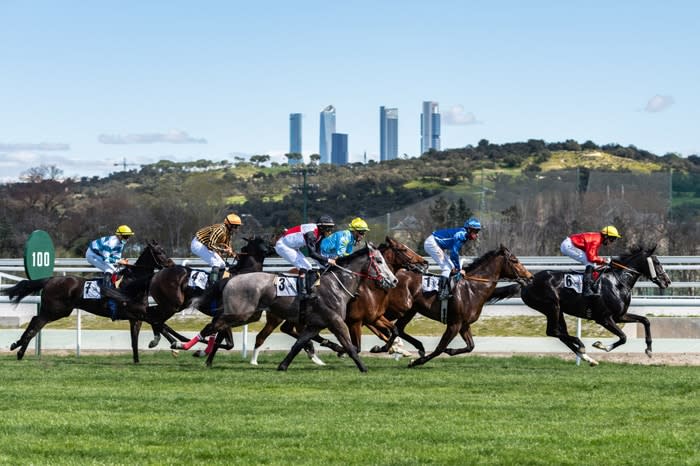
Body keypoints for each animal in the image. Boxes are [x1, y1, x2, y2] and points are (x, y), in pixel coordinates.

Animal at [3, 240, 173, 364]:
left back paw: (19, 349)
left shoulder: (137, 317)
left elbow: (137, 338)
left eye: (164, 250)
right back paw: (18, 347)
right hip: (56, 310)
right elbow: (159, 324)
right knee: (36, 322)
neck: (134, 282)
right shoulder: (135, 312)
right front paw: (171, 343)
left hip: (56, 311)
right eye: (159, 252)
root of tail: (50, 280)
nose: (171, 264)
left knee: (35, 322)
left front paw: (139, 358)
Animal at [180, 244, 400, 372]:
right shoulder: (336, 321)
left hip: (248, 315)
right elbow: (350, 346)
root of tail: (230, 279)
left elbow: (298, 344)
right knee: (212, 326)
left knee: (218, 328)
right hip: (242, 313)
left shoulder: (315, 324)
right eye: (379, 260)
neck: (337, 285)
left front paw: (283, 365)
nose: (394, 280)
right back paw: (184, 346)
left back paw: (206, 358)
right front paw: (363, 367)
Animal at [249, 237, 430, 364]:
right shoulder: (355, 321)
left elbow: (394, 331)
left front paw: (387, 348)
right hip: (278, 316)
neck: (370, 288)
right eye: (403, 248)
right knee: (265, 335)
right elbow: (358, 346)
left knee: (291, 329)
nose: (425, 262)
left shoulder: (374, 317)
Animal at [378, 246, 532, 366]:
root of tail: (392, 276)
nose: (530, 277)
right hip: (397, 308)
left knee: (398, 328)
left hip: (409, 310)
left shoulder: (464, 324)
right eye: (515, 260)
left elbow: (470, 346)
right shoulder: (454, 324)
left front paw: (450, 351)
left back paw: (397, 347)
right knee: (383, 322)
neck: (472, 289)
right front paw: (416, 362)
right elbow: (440, 348)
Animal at [494, 242, 668, 366]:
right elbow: (624, 337)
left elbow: (645, 320)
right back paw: (581, 346)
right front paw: (601, 345)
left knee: (559, 333)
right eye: (657, 262)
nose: (667, 281)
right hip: (552, 306)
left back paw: (586, 357)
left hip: (558, 310)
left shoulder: (620, 316)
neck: (618, 281)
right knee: (553, 331)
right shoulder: (604, 318)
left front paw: (649, 349)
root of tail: (526, 283)